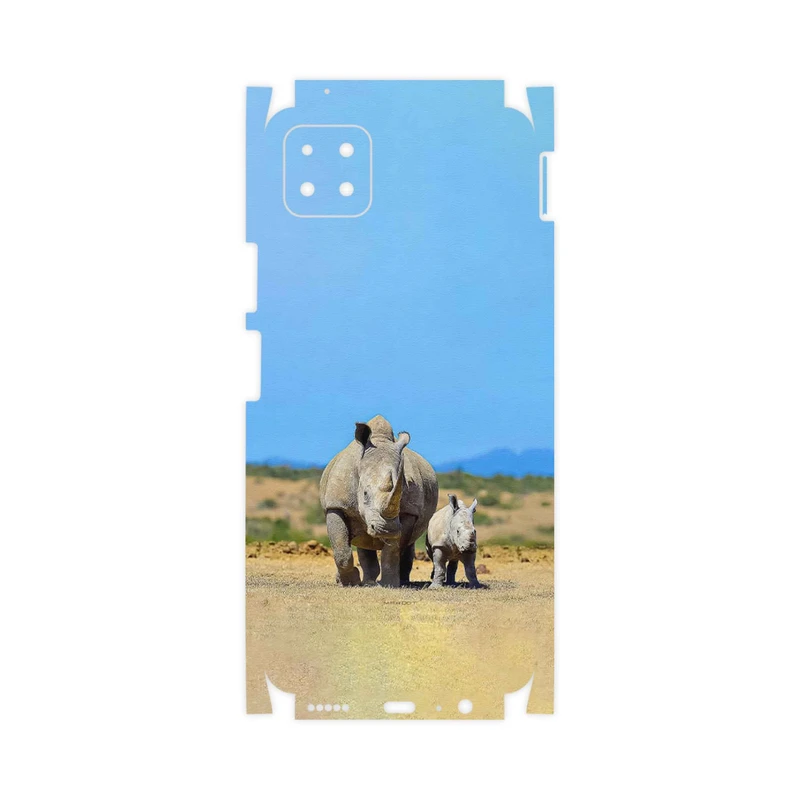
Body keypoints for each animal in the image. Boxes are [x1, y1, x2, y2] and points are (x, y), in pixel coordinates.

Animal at [319, 415, 438, 587]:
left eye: (400, 494)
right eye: (365, 494)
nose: (387, 529)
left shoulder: (409, 512)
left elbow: (393, 550)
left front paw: (390, 584)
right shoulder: (336, 505)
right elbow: (341, 549)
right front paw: (350, 582)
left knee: (407, 544)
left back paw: (400, 581)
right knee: (363, 541)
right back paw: (365, 582)